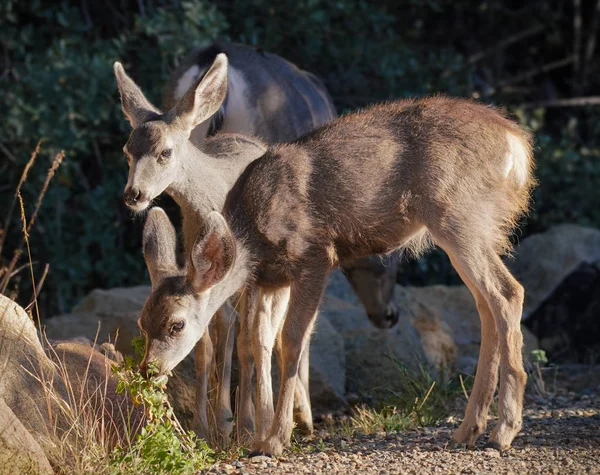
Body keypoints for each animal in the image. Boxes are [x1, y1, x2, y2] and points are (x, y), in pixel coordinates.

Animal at [130, 52, 536, 458]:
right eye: (142, 322)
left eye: (177, 324)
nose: (148, 370)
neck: (253, 233)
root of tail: (517, 144)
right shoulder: (269, 278)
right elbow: (259, 341)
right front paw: (259, 436)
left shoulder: (313, 256)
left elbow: (291, 340)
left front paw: (276, 439)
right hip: (470, 226)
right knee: (486, 304)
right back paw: (469, 429)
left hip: (458, 214)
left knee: (508, 292)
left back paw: (503, 430)